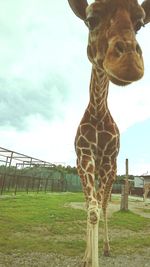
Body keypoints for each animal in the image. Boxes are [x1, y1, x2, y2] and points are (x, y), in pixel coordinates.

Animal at [68, 0, 150, 267]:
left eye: (139, 24)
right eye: (91, 19)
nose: (129, 63)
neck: (97, 112)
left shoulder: (106, 161)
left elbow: (100, 206)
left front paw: (99, 252)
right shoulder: (84, 155)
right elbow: (90, 208)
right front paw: (86, 259)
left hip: (113, 170)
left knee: (104, 203)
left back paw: (105, 247)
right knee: (93, 203)